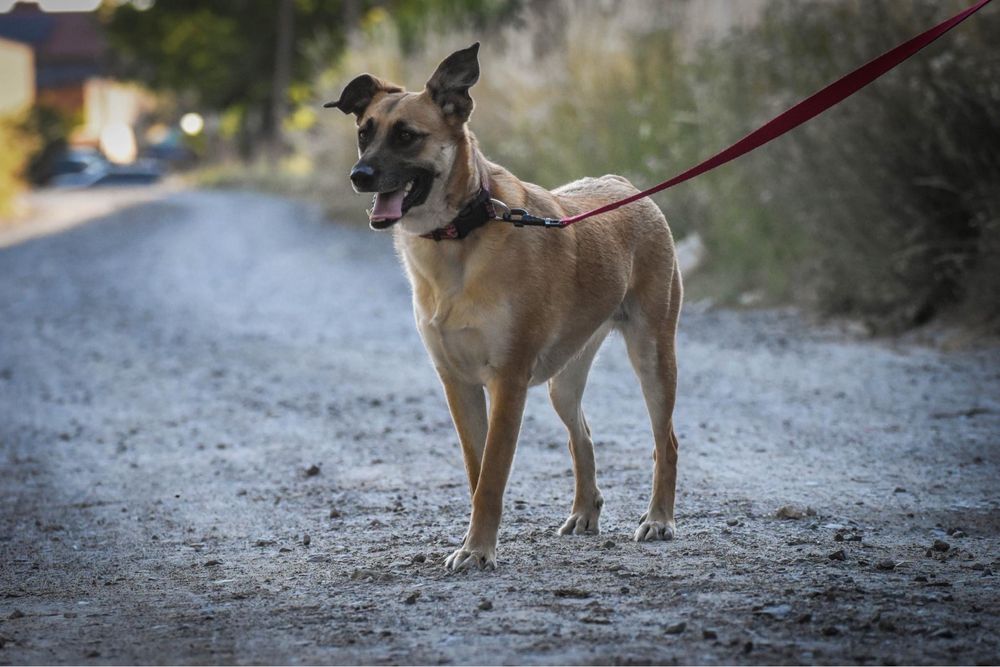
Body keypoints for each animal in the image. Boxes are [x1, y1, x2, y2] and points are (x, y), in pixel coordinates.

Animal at [326, 43, 680, 576]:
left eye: (407, 136)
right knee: (582, 435)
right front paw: (477, 539)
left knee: (666, 442)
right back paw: (584, 512)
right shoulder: (458, 383)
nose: (358, 176)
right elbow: (477, 473)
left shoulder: (507, 382)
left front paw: (477, 549)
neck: (458, 236)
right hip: (563, 381)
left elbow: (492, 475)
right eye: (364, 132)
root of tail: (626, 186)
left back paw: (659, 518)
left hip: (653, 356)